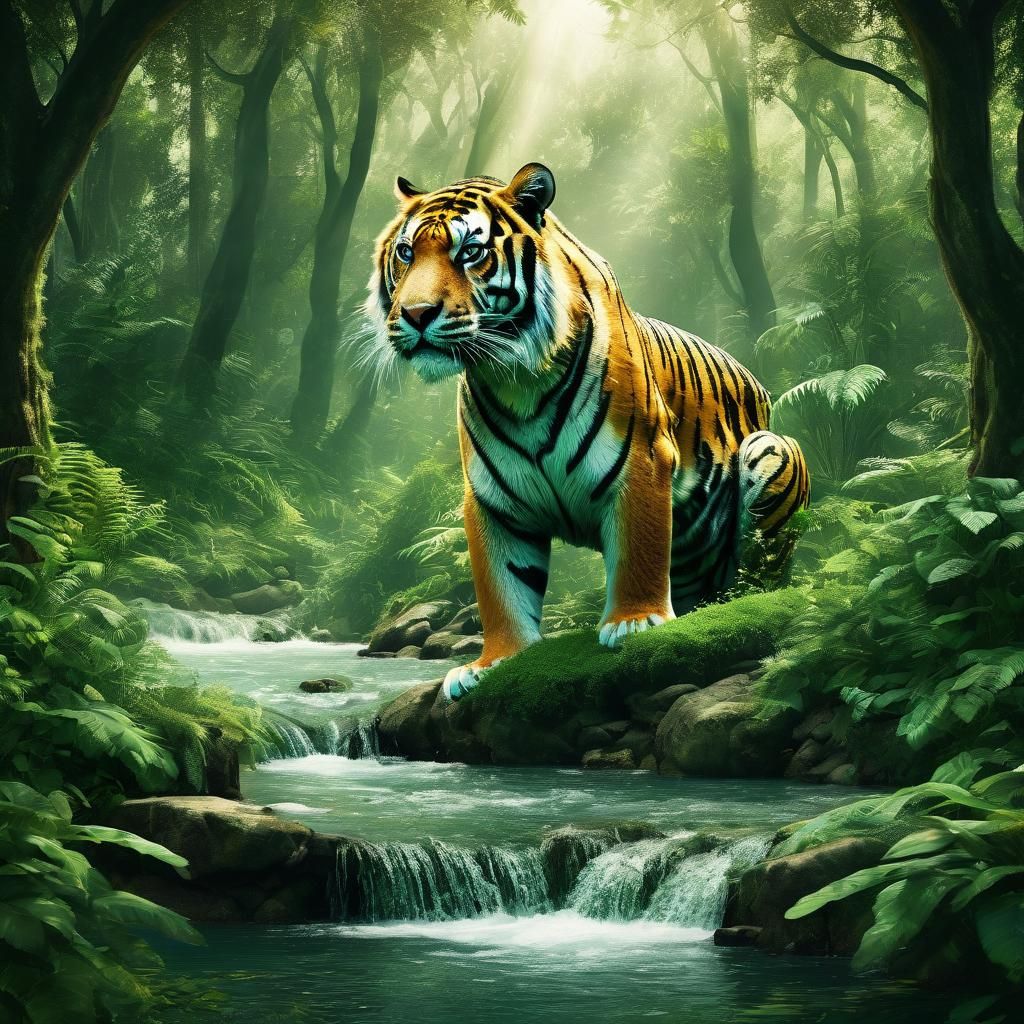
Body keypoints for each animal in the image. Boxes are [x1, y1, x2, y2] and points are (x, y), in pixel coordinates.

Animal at [366, 162, 810, 701]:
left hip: (771, 453)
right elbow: (500, 586)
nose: (415, 314)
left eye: (470, 252)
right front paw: (493, 663)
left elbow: (640, 549)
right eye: (407, 253)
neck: (517, 379)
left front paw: (634, 623)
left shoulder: (643, 459)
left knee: (760, 575)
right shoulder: (491, 498)